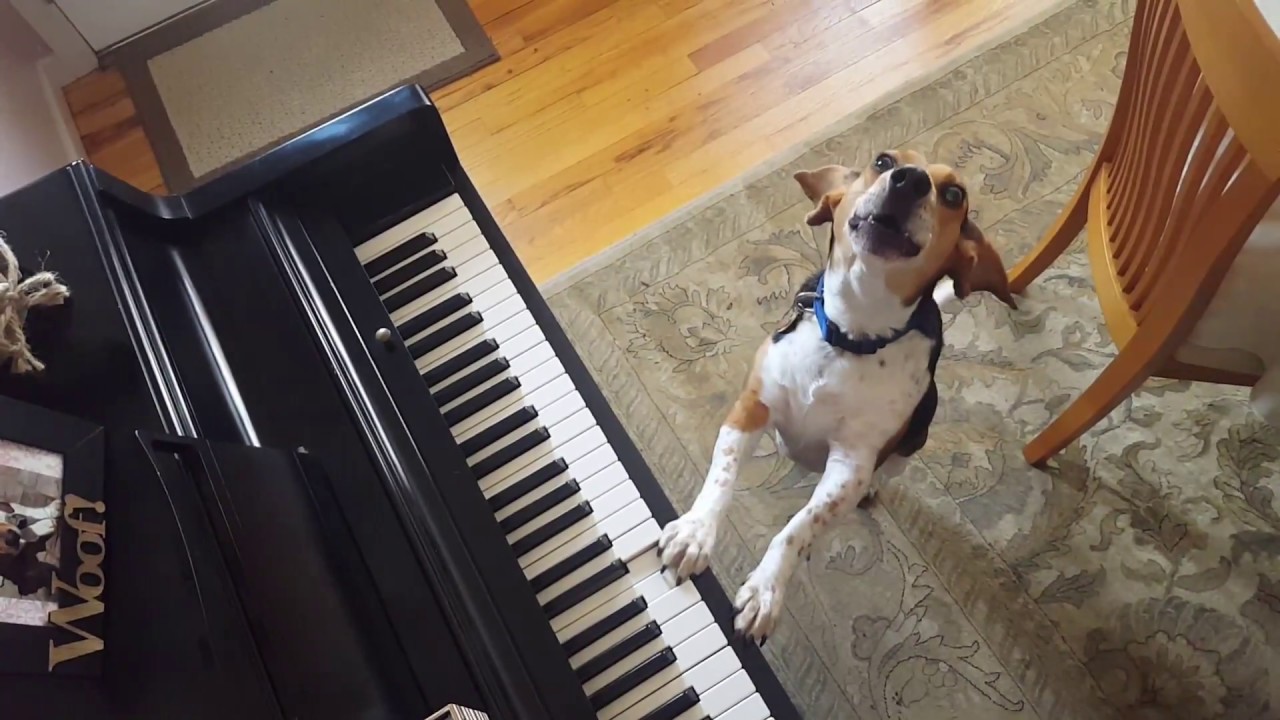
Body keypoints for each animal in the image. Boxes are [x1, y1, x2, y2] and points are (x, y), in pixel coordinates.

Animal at [655, 149, 1013, 638]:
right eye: (883, 160)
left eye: (955, 194)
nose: (909, 180)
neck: (851, 333)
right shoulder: (751, 408)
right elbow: (722, 476)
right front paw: (695, 534)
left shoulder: (850, 466)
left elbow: (800, 526)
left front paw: (766, 592)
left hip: (915, 434)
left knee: (892, 467)